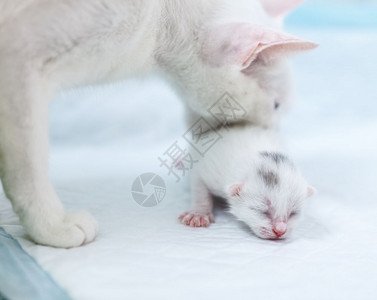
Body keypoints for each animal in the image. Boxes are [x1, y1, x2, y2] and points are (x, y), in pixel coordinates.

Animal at [178, 125, 312, 240]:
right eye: (262, 211)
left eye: (293, 213)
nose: (280, 230)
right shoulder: (207, 168)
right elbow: (199, 186)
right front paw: (198, 214)